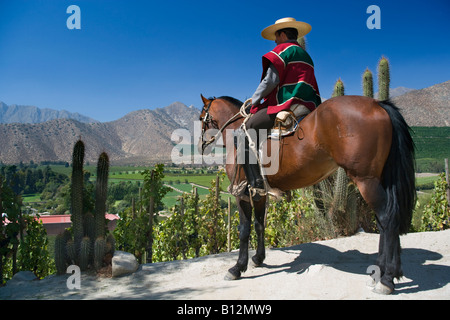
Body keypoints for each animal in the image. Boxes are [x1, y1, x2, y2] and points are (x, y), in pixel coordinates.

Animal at [199, 94, 416, 294]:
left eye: (202, 117)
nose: (202, 145)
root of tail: (377, 104)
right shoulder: (258, 193)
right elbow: (260, 225)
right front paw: (258, 258)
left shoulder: (241, 192)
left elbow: (244, 230)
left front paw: (237, 267)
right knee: (386, 221)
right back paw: (383, 272)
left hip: (366, 180)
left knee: (387, 218)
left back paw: (386, 279)